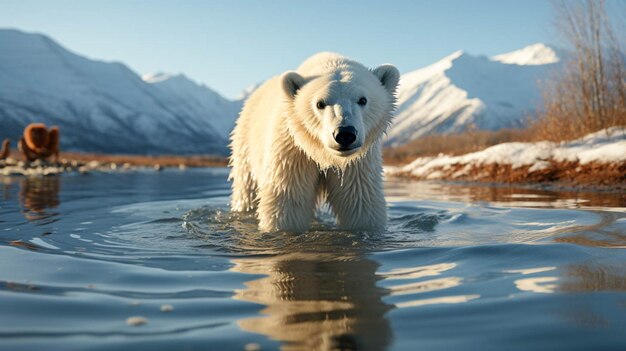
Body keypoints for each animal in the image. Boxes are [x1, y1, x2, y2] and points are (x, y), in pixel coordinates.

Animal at [227, 52, 398, 232]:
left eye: (363, 100)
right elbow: (287, 203)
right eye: (320, 103)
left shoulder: (358, 163)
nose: (345, 134)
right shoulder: (291, 151)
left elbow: (360, 202)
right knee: (247, 189)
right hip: (245, 144)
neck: (324, 154)